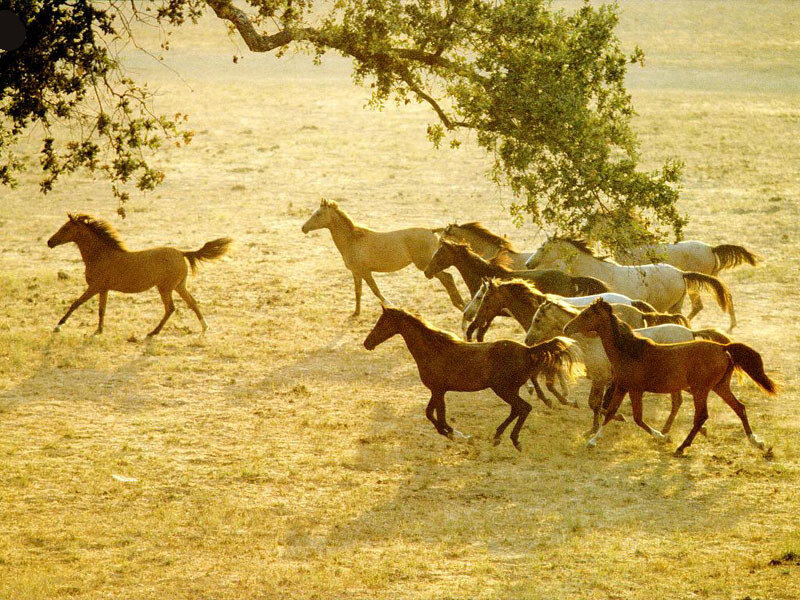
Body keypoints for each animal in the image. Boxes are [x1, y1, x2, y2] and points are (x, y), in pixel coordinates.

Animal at [47, 214, 231, 337]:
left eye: (66, 228)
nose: (49, 242)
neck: (100, 255)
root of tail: (181, 252)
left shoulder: (94, 287)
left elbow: (75, 303)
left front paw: (58, 326)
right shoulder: (103, 289)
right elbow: (101, 310)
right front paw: (98, 330)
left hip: (165, 288)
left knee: (171, 308)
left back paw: (153, 332)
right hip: (179, 286)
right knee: (192, 302)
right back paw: (204, 327)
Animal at [301, 199, 463, 315]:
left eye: (318, 214)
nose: (303, 228)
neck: (353, 240)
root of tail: (431, 231)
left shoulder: (365, 272)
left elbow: (376, 291)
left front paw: (391, 305)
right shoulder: (356, 273)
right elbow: (358, 292)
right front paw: (356, 313)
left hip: (426, 265)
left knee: (447, 278)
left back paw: (460, 305)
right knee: (447, 279)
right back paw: (459, 304)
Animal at [363, 305, 576, 450]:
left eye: (381, 322)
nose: (367, 343)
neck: (434, 350)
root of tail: (528, 350)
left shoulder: (438, 390)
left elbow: (438, 417)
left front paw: (458, 436)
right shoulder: (438, 391)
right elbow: (431, 414)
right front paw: (456, 434)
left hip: (503, 389)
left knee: (524, 408)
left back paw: (514, 440)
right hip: (510, 389)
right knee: (517, 409)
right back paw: (497, 436)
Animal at [525, 298, 732, 436]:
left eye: (537, 320)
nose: (527, 341)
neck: (592, 343)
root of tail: (691, 332)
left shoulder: (601, 380)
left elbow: (596, 404)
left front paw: (599, 426)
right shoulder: (602, 380)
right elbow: (597, 404)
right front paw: (597, 426)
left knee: (678, 401)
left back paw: (667, 431)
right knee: (681, 400)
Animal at [563, 300, 776, 455]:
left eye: (587, 314)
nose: (566, 328)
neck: (629, 351)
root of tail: (724, 348)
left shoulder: (633, 389)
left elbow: (635, 418)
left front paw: (663, 437)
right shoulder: (622, 387)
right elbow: (612, 412)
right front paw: (593, 440)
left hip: (701, 390)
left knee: (701, 416)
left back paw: (681, 447)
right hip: (720, 387)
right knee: (739, 408)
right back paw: (758, 443)